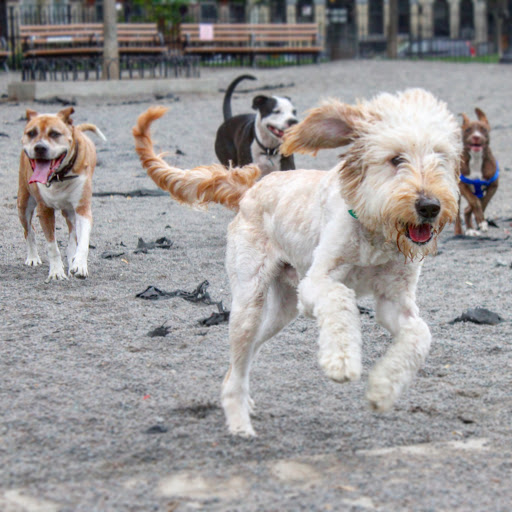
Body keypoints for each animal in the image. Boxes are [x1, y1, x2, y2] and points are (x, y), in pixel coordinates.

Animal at [17, 106, 105, 282]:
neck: (59, 176)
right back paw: (33, 257)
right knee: (29, 231)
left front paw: (79, 265)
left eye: (55, 134)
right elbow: (52, 246)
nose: (40, 147)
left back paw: (72, 260)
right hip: (23, 204)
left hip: (70, 212)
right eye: (32, 133)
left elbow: (82, 241)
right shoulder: (44, 210)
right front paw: (57, 272)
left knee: (72, 237)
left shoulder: (82, 209)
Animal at [132, 88, 460, 436]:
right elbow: (340, 298)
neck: (374, 228)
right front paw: (341, 361)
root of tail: (251, 189)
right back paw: (239, 422)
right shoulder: (316, 283)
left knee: (242, 360)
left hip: (282, 309)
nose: (430, 207)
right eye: (396, 158)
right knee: (239, 358)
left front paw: (382, 389)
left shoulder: (394, 300)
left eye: (441, 158)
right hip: (248, 303)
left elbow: (420, 336)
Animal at [454, 109, 498, 237]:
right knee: (457, 213)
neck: (476, 159)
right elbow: (475, 201)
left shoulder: (493, 185)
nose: (476, 137)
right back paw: (459, 232)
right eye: (468, 130)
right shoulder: (462, 186)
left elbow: (483, 201)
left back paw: (470, 228)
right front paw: (481, 221)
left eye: (483, 129)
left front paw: (481, 222)